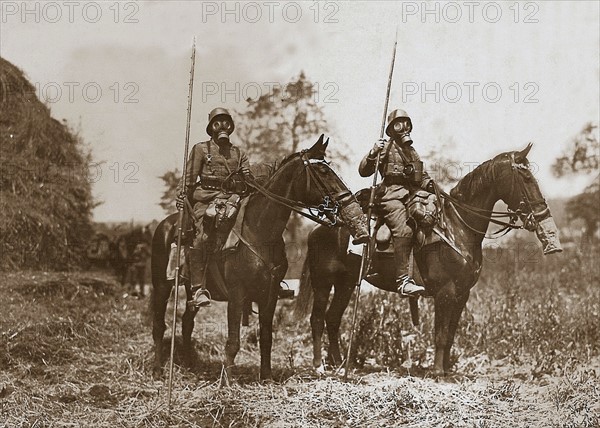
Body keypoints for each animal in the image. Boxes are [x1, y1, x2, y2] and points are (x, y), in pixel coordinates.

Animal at [152, 135, 364, 382]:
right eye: (323, 170)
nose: (349, 203)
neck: (260, 232)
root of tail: (166, 224)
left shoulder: (269, 295)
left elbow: (266, 336)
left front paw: (267, 377)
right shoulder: (237, 294)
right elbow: (233, 341)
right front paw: (227, 381)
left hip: (190, 290)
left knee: (187, 321)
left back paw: (189, 364)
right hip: (161, 286)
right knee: (159, 326)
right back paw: (157, 369)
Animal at [296, 145, 564, 376]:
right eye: (526, 178)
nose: (542, 213)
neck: (457, 227)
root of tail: (320, 228)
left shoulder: (462, 294)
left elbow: (451, 334)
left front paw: (446, 370)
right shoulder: (445, 292)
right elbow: (441, 335)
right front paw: (437, 372)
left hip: (346, 283)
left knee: (332, 319)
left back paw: (340, 363)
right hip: (323, 282)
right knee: (317, 319)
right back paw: (320, 366)